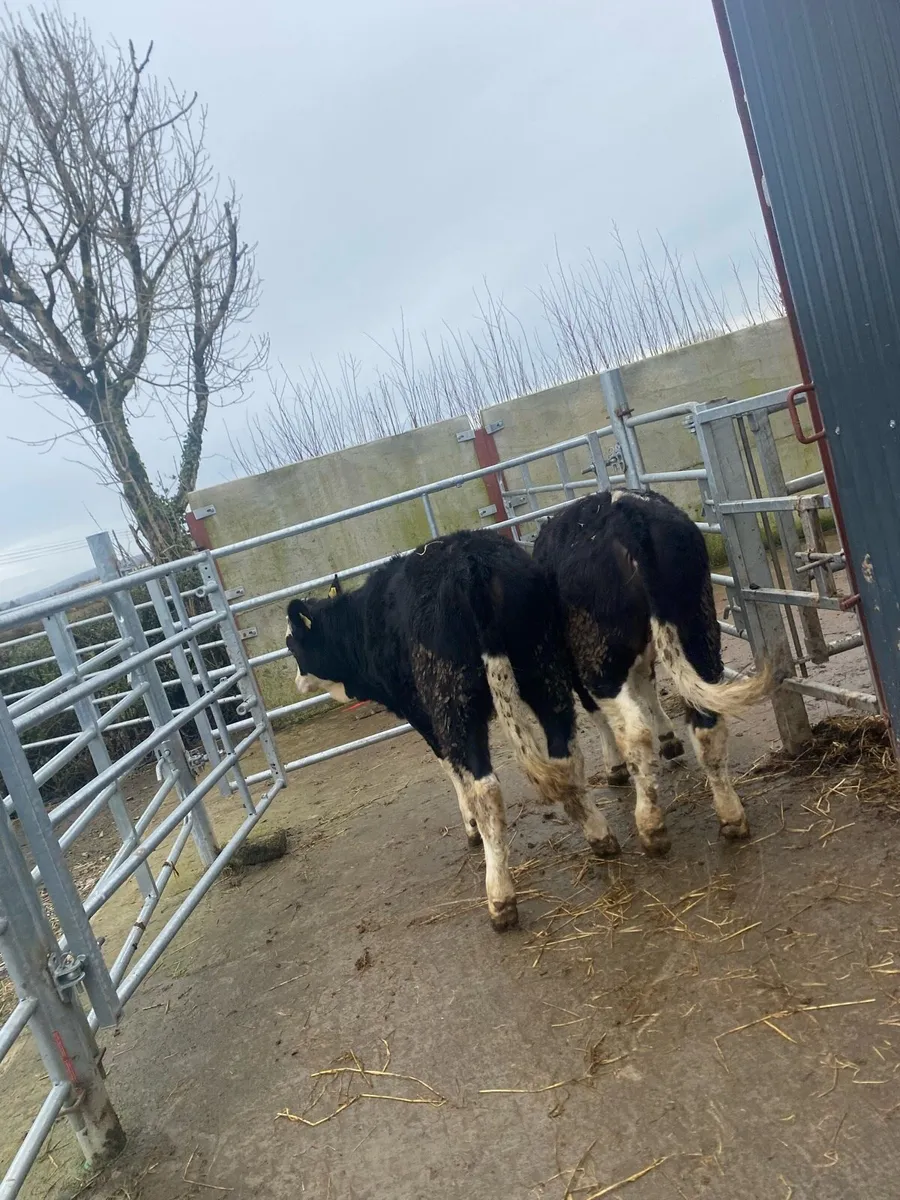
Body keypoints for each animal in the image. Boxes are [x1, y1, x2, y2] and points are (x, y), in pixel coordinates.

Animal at [284, 529, 620, 932]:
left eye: (291, 644)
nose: (297, 682)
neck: (362, 625)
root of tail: (471, 562)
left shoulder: (421, 714)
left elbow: (450, 768)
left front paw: (471, 825)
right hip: (544, 666)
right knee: (565, 751)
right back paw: (599, 832)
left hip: (453, 699)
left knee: (485, 785)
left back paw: (500, 896)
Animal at [532, 488, 772, 854]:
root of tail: (628, 512)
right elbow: (648, 685)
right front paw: (669, 738)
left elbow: (600, 716)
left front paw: (615, 766)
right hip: (697, 628)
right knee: (707, 722)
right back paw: (731, 815)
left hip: (600, 658)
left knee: (634, 732)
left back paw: (650, 825)